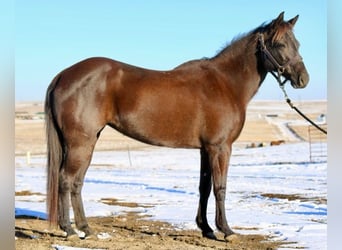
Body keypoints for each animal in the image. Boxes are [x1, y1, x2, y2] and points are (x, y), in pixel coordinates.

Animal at [45, 12, 310, 240]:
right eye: (280, 44)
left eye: (297, 43)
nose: (303, 79)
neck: (225, 83)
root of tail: (63, 75)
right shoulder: (220, 147)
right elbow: (220, 187)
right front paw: (226, 230)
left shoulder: (205, 149)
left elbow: (204, 187)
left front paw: (207, 229)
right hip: (80, 143)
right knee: (66, 180)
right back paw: (69, 229)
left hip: (86, 142)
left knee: (77, 183)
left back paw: (85, 229)